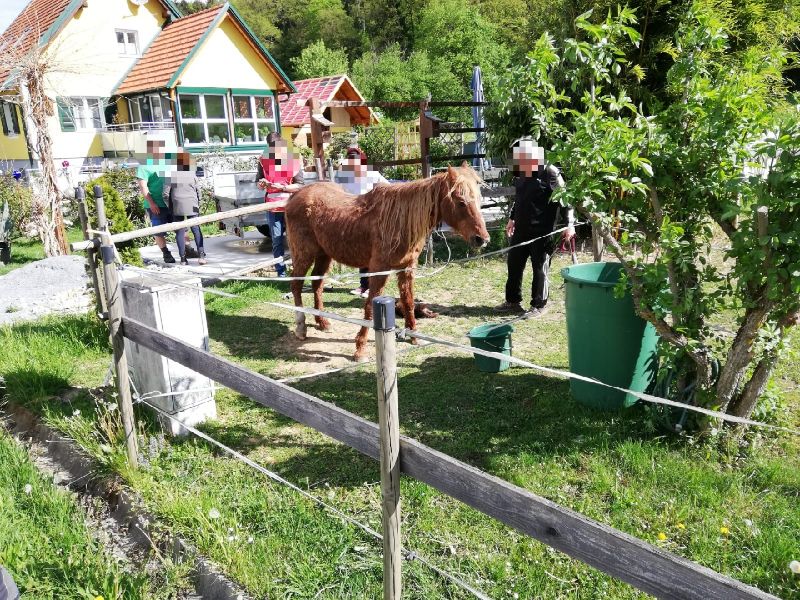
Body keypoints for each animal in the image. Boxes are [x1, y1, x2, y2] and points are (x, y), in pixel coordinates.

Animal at [285, 163, 490, 361]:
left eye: (479, 200)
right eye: (461, 202)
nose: (482, 239)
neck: (399, 221)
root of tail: (296, 195)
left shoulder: (407, 268)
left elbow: (408, 302)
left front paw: (413, 335)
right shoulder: (379, 269)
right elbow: (369, 306)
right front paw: (360, 349)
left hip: (324, 254)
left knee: (317, 284)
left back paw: (323, 322)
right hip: (304, 254)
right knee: (296, 284)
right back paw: (301, 327)